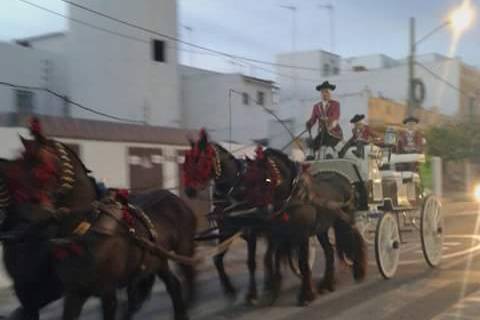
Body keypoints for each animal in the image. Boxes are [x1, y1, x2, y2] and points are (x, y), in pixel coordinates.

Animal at [51, 189, 196, 320]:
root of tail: (176, 198)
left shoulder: (107, 291)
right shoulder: (75, 292)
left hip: (183, 249)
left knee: (188, 274)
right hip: (158, 262)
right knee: (172, 284)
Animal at [182, 129, 264, 302]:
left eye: (200, 160)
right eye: (188, 160)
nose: (189, 190)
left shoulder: (251, 229)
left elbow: (251, 262)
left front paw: (252, 294)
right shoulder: (227, 231)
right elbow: (217, 260)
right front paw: (229, 288)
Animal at [244, 149, 368, 306]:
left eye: (266, 180)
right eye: (247, 179)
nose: (256, 210)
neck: (294, 196)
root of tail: (345, 181)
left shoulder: (301, 234)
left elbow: (302, 263)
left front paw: (305, 295)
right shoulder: (280, 235)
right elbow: (274, 259)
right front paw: (272, 291)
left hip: (344, 220)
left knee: (354, 238)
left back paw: (359, 271)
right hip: (322, 228)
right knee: (329, 251)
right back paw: (327, 284)